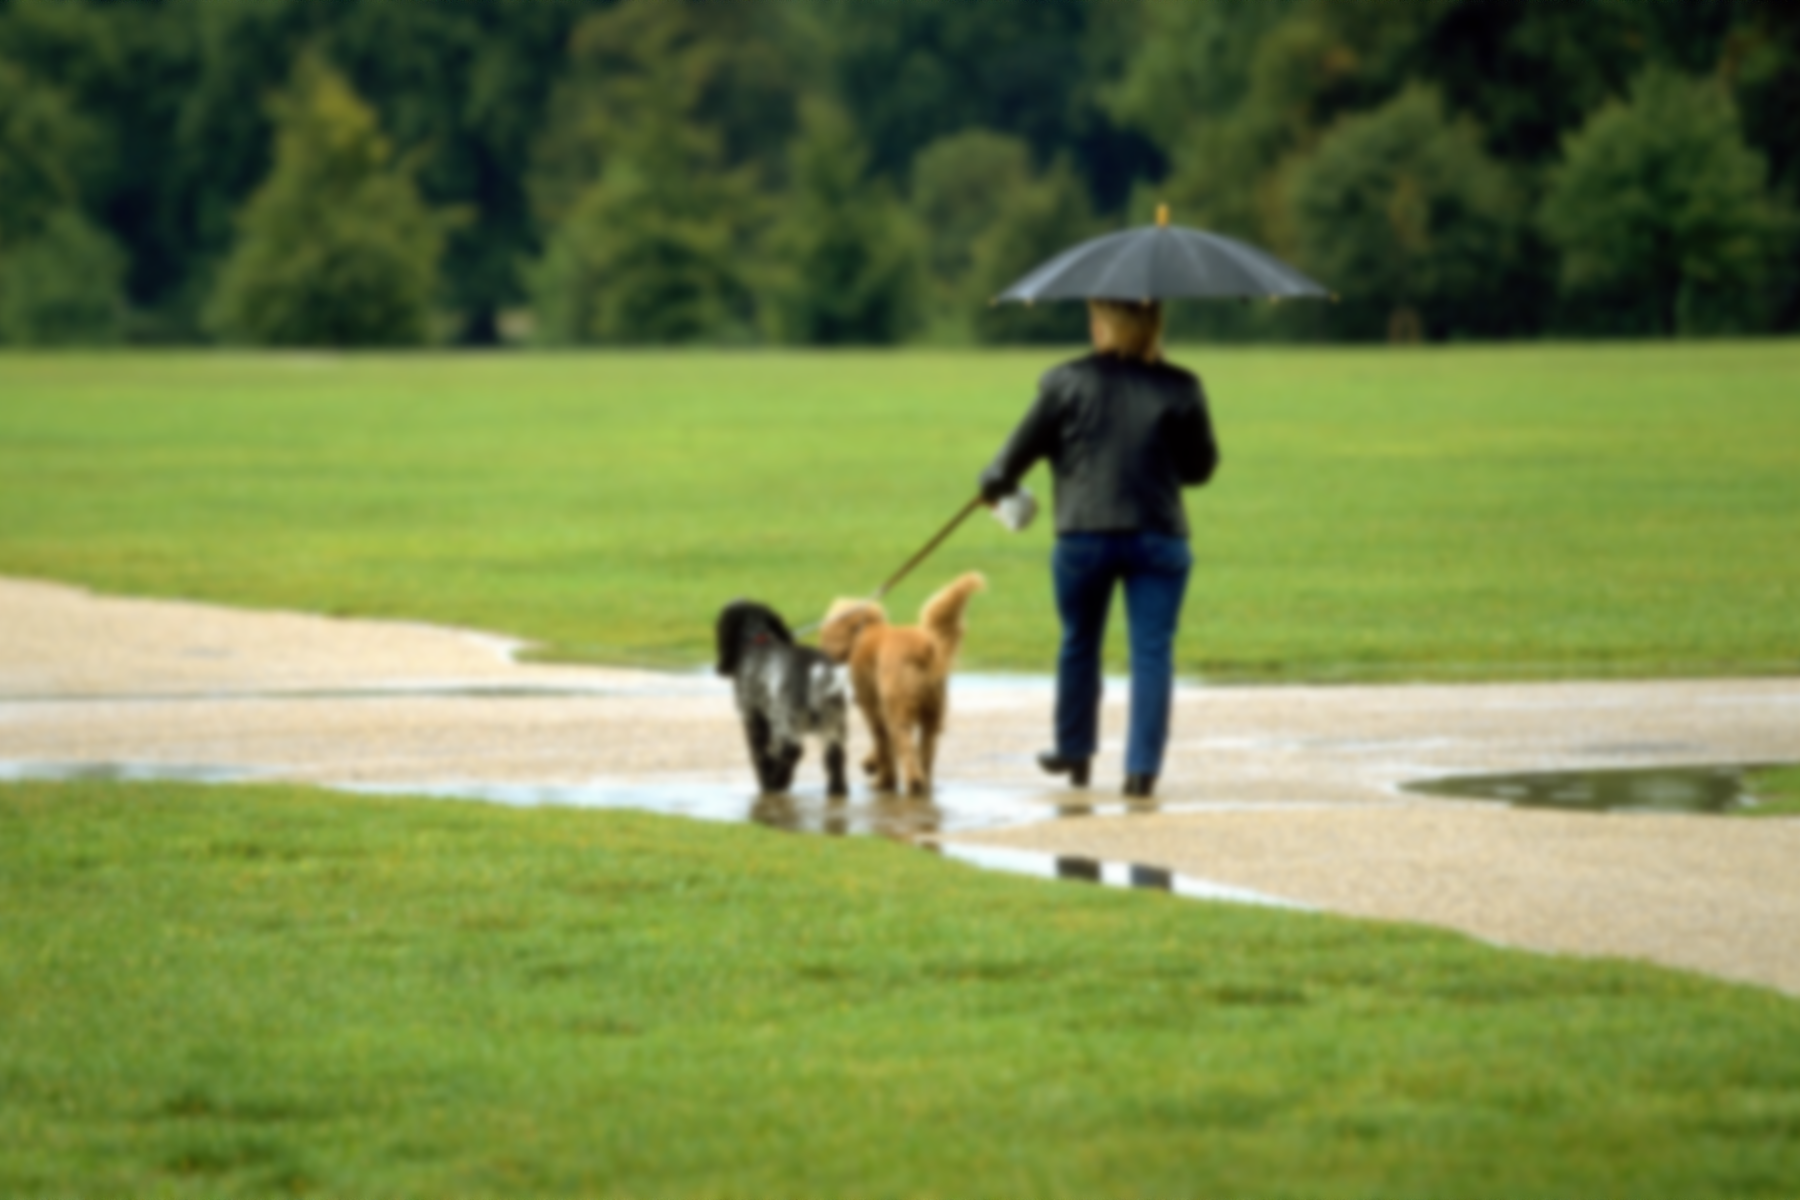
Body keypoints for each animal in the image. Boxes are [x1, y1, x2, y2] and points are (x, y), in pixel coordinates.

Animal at [709, 600, 849, 798]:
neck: (757, 641)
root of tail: (815, 672)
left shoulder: (753, 717)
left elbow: (760, 754)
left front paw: (767, 782)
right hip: (834, 723)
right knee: (835, 757)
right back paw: (836, 790)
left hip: (785, 720)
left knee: (792, 751)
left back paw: (776, 782)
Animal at [820, 572, 986, 798]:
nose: (822, 651)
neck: (866, 631)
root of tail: (926, 648)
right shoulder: (881, 708)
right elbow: (884, 743)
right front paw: (872, 764)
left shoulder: (872, 707)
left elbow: (883, 742)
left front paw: (883, 780)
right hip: (932, 711)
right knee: (926, 748)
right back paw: (925, 781)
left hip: (899, 706)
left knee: (905, 745)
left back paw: (914, 783)